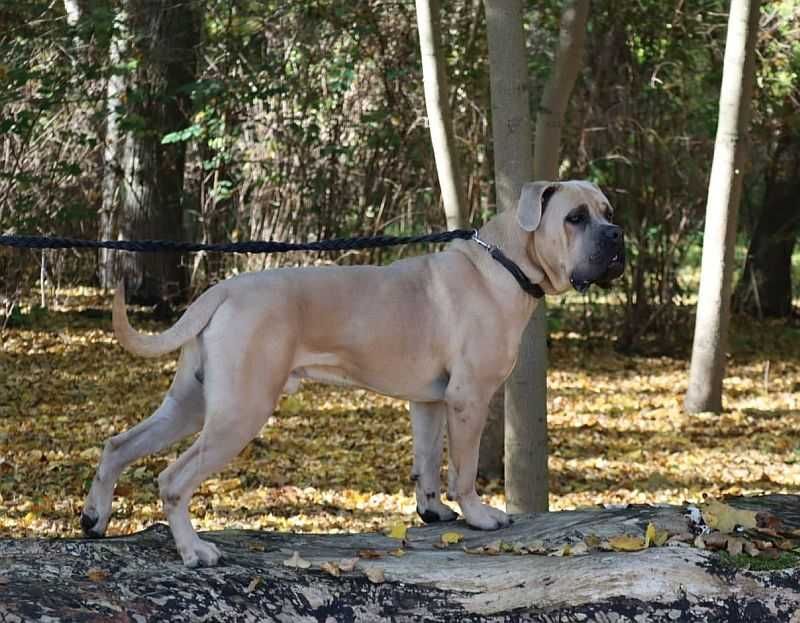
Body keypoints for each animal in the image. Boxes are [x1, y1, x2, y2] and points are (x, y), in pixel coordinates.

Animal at [81, 179, 624, 564]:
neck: (505, 263)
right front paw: (477, 516)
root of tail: (223, 290)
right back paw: (194, 550)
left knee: (118, 445)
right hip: (239, 411)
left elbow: (427, 462)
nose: (617, 235)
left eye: (608, 212)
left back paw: (94, 518)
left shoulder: (430, 401)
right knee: (173, 478)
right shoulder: (468, 400)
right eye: (575, 218)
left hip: (191, 405)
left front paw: (432, 512)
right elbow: (463, 469)